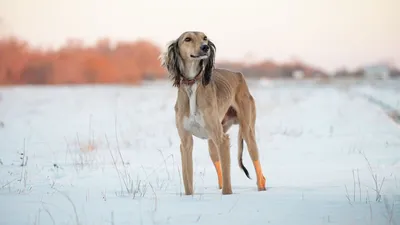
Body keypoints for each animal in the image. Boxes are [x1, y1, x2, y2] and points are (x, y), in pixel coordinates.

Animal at [159, 30, 266, 194]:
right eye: (187, 39)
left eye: (205, 38)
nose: (205, 48)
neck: (192, 85)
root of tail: (238, 74)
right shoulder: (185, 143)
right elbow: (187, 180)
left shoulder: (223, 140)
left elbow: (228, 182)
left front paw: (227, 195)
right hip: (212, 143)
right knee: (218, 165)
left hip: (247, 132)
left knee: (256, 163)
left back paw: (262, 188)